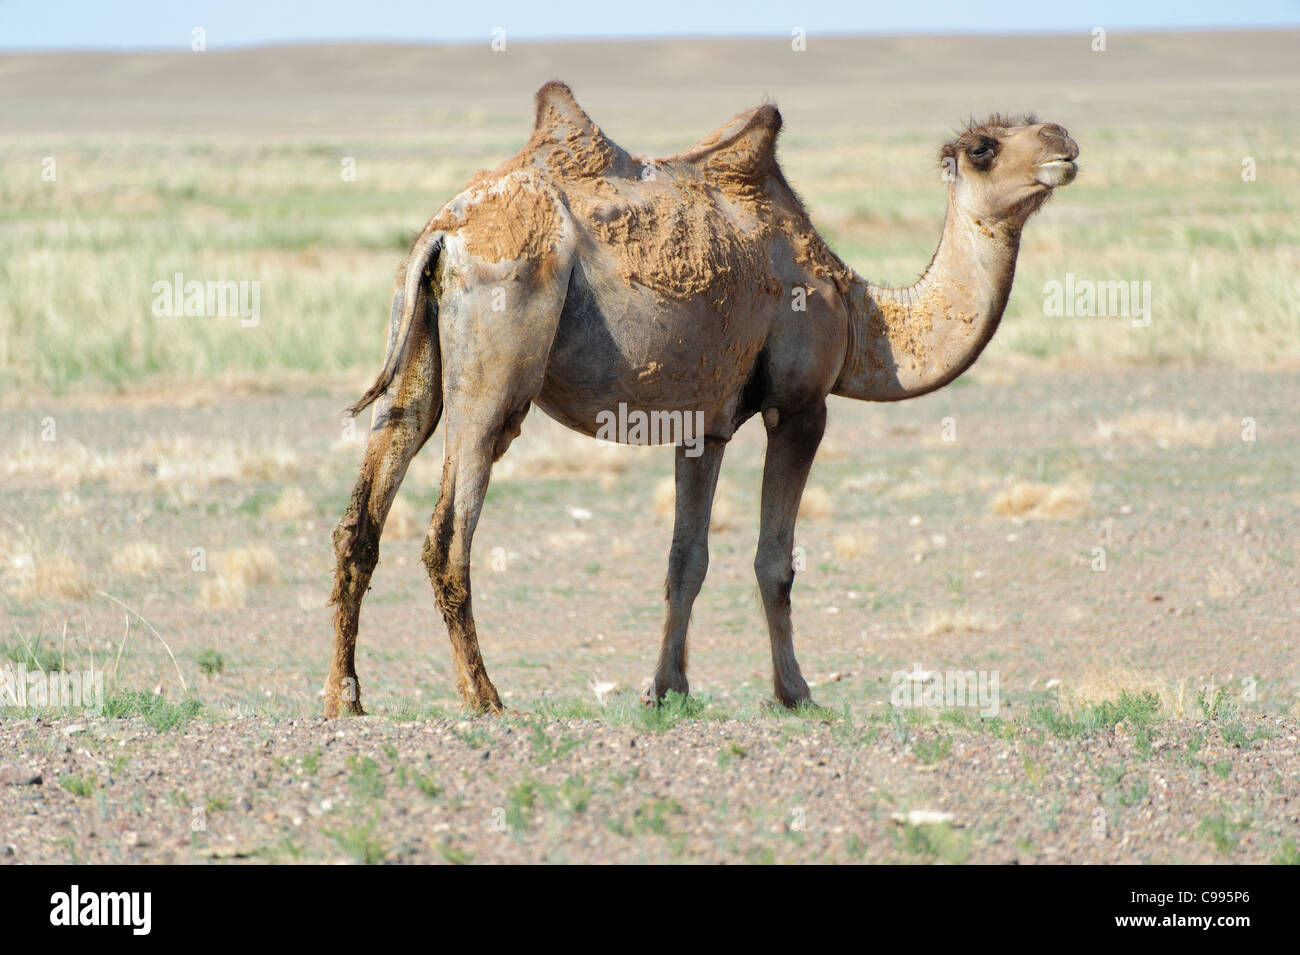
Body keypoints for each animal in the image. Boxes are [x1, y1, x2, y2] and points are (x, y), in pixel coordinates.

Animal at [322, 82, 1076, 712]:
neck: (865, 318)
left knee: (364, 512)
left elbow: (686, 559)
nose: (1064, 142)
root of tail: (444, 231)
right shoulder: (801, 406)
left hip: (418, 350)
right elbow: (774, 561)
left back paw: (345, 698)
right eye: (984, 148)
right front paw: (796, 692)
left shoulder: (703, 424)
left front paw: (667, 687)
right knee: (450, 528)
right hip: (498, 355)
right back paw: (485, 697)